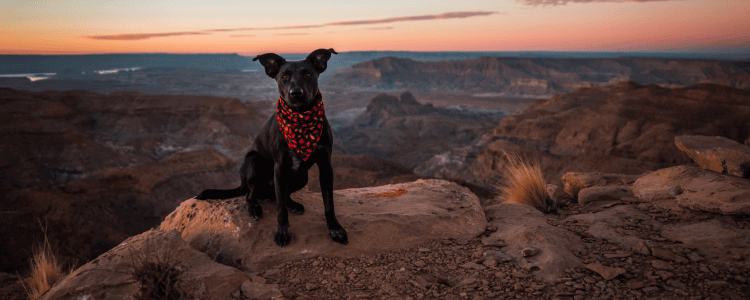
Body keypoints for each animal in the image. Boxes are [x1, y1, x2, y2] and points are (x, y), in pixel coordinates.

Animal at [194, 48, 346, 246]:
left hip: (302, 177)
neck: (300, 119)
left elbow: (329, 203)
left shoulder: (326, 167)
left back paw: (292, 204)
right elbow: (280, 209)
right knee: (251, 195)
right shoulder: (280, 167)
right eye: (284, 76)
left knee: (279, 196)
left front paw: (335, 228)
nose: (295, 93)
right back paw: (254, 207)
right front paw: (282, 231)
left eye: (308, 74)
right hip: (253, 162)